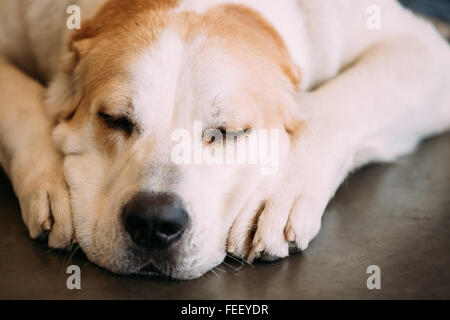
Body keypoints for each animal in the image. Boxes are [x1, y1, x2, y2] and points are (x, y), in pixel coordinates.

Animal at [0, 0, 450, 278]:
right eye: (114, 120)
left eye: (228, 133)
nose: (154, 221)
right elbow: (20, 102)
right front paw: (48, 181)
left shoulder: (421, 51)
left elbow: (333, 107)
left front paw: (279, 192)